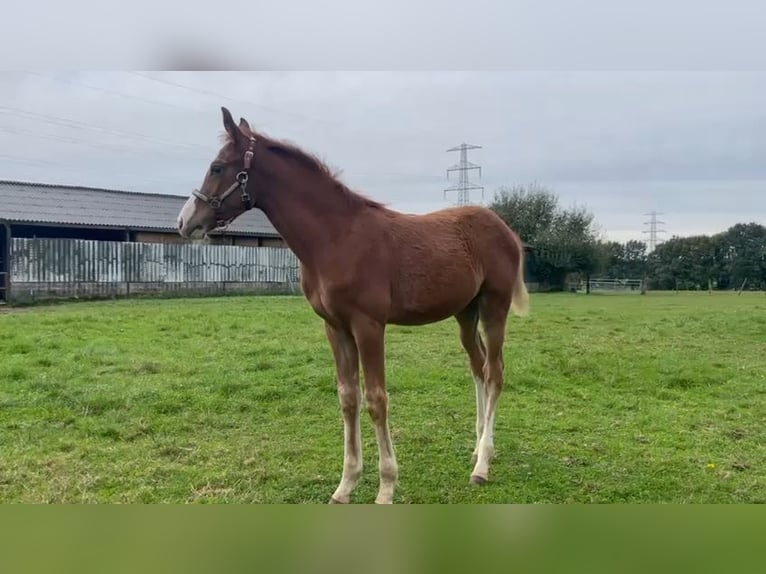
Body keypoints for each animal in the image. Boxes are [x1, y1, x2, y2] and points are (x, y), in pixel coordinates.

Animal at [177, 107, 532, 504]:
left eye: (217, 167)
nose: (185, 222)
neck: (336, 238)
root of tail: (507, 230)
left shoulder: (369, 325)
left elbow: (376, 399)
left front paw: (386, 487)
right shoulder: (335, 327)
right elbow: (348, 398)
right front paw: (345, 485)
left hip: (494, 307)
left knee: (495, 371)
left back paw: (482, 464)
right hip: (465, 313)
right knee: (479, 367)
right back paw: (479, 447)